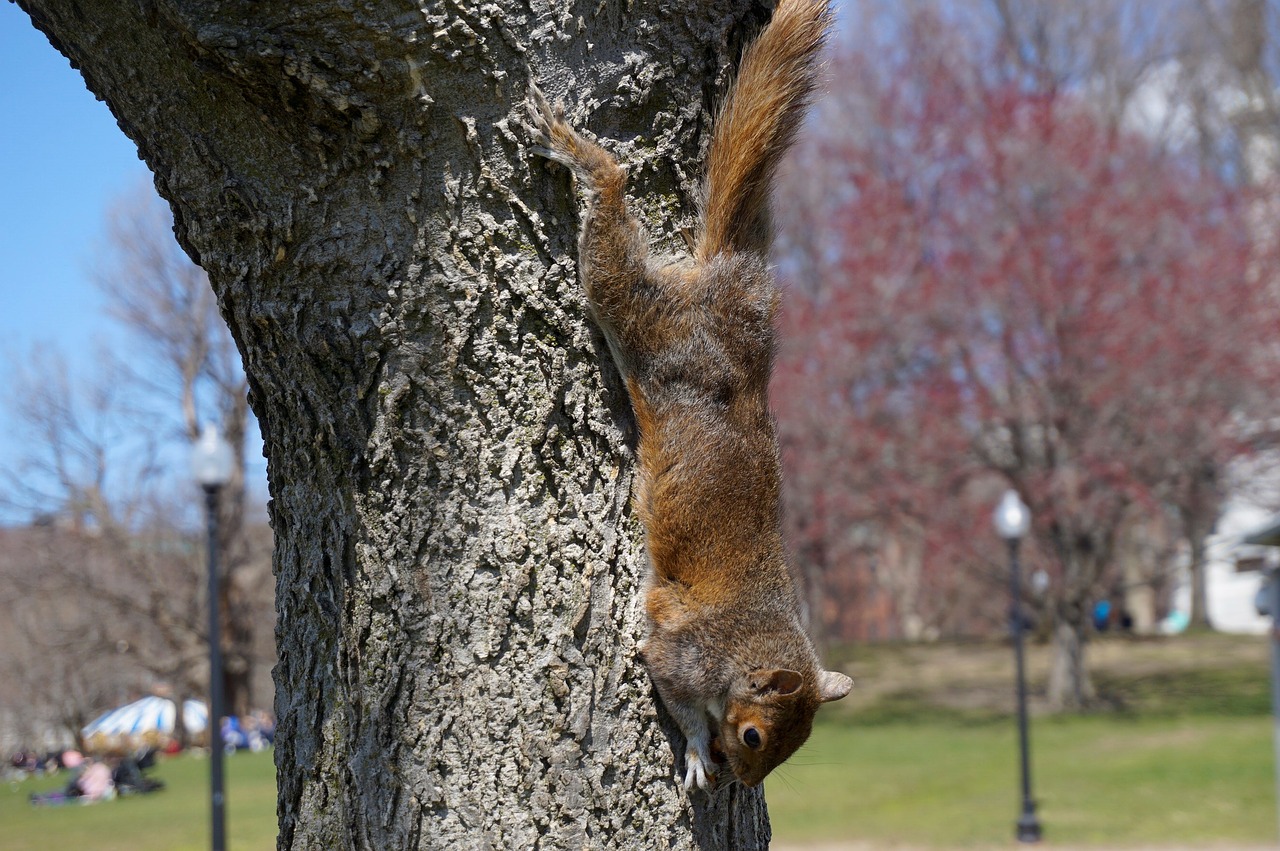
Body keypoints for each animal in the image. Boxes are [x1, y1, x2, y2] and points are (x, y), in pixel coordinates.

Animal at [524, 0, 844, 788]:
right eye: (756, 735)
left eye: (798, 745)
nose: (744, 781)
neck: (752, 633)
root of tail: (727, 282)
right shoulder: (679, 650)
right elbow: (678, 696)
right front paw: (699, 751)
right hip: (645, 319)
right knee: (611, 226)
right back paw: (581, 155)